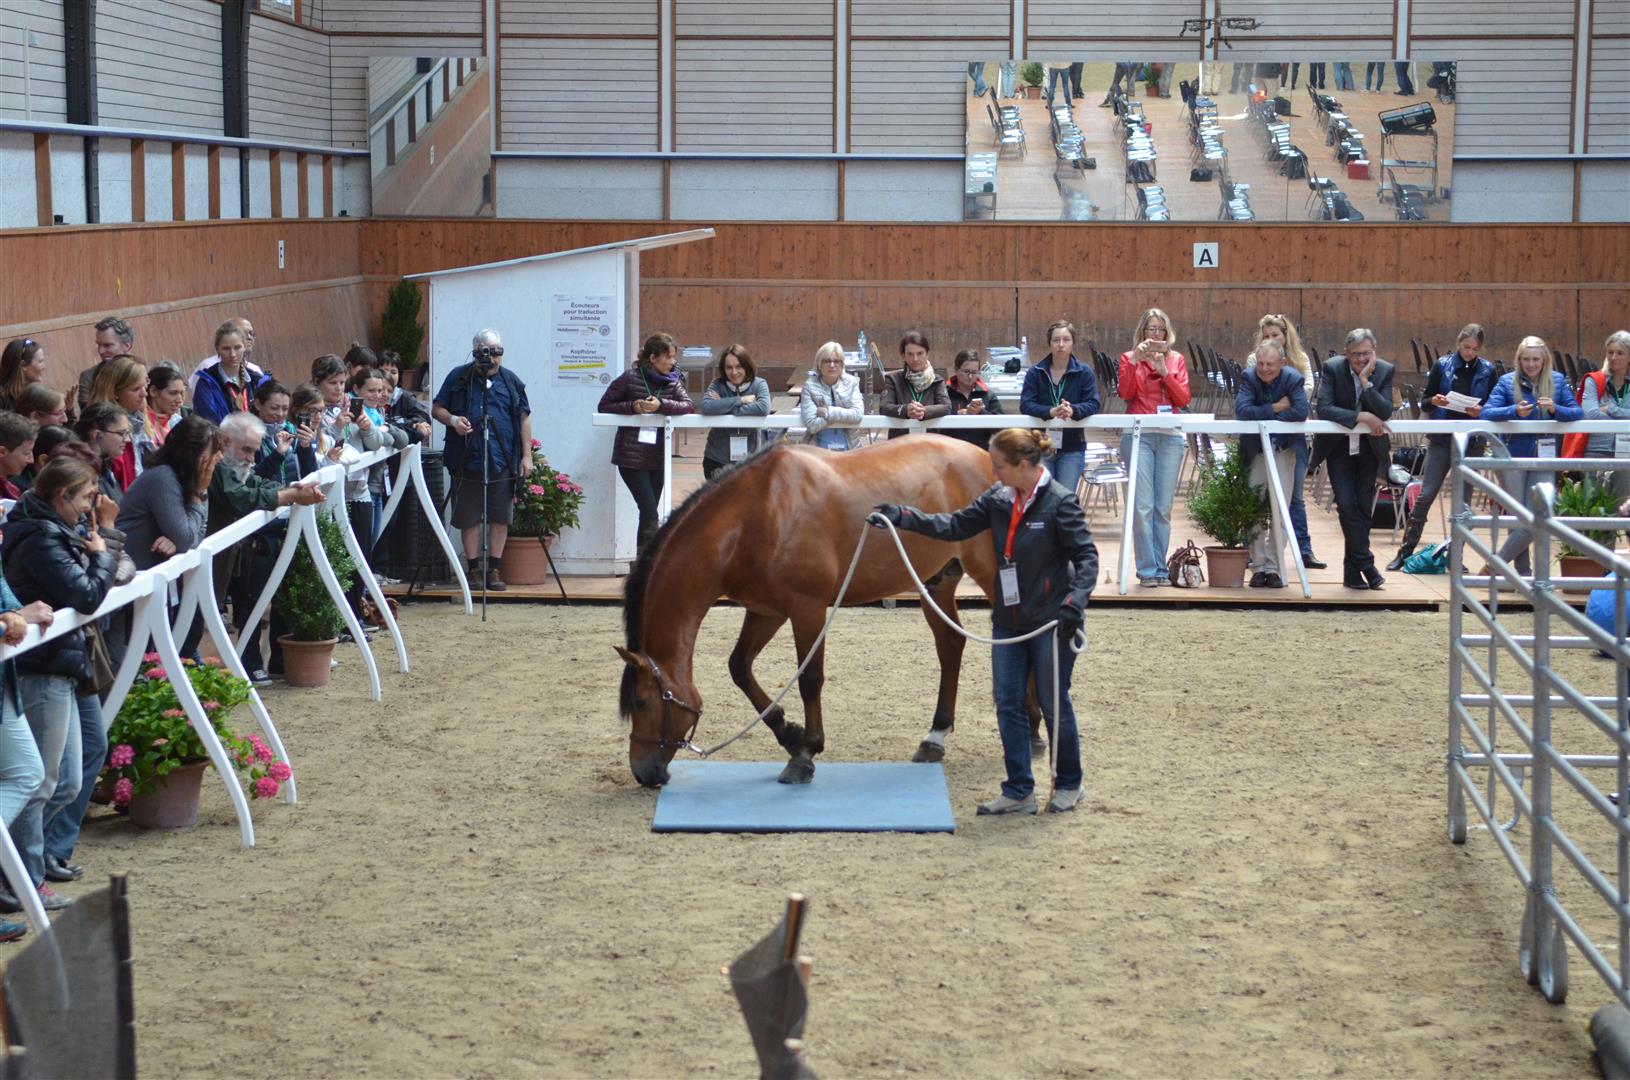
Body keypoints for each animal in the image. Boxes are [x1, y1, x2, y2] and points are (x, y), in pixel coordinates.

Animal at [616, 437, 1002, 787]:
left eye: (642, 702)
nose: (643, 772)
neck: (754, 515)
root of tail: (984, 457)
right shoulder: (766, 611)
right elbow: (739, 667)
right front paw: (789, 733)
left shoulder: (808, 609)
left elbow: (810, 679)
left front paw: (805, 753)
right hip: (937, 583)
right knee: (950, 645)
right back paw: (935, 737)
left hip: (990, 573)